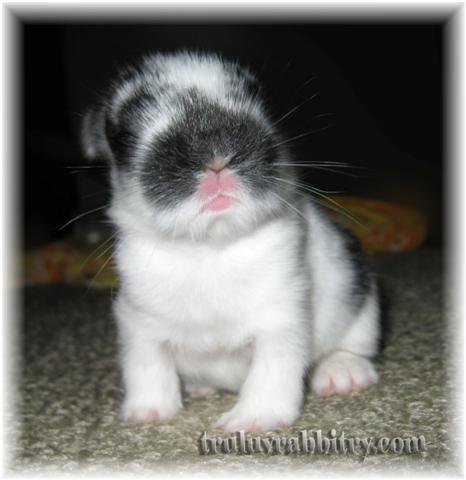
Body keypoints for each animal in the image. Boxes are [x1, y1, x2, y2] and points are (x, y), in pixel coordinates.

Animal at [81, 51, 380, 432]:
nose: (216, 157)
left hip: (362, 299)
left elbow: (271, 372)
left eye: (256, 98)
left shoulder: (281, 319)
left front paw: (252, 421)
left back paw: (342, 375)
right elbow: (147, 368)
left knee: (356, 345)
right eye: (121, 133)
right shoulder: (139, 323)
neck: (210, 248)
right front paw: (147, 415)